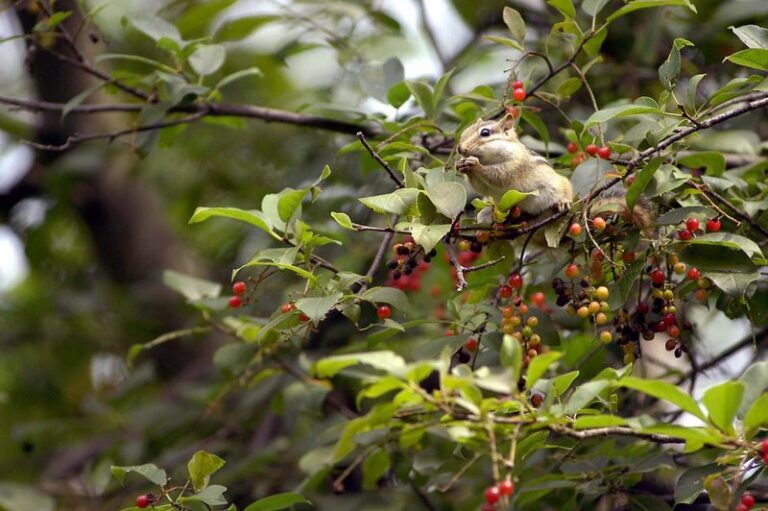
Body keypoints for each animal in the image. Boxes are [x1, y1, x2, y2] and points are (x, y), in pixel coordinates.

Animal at [456, 114, 654, 231]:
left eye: (485, 133)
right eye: (464, 132)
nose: (459, 148)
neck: (489, 159)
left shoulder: (515, 164)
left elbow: (498, 176)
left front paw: (474, 165)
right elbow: (482, 187)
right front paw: (462, 166)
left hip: (560, 186)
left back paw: (562, 202)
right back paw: (489, 215)